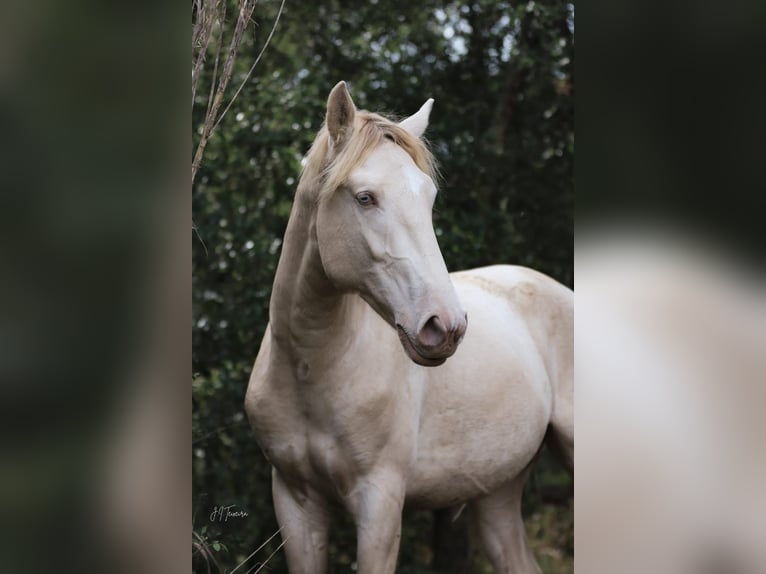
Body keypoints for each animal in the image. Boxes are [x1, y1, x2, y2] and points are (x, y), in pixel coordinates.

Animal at [244, 82, 568, 574]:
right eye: (364, 197)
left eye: (428, 198)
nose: (445, 326)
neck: (311, 366)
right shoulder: (296, 503)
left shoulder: (379, 504)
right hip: (497, 494)